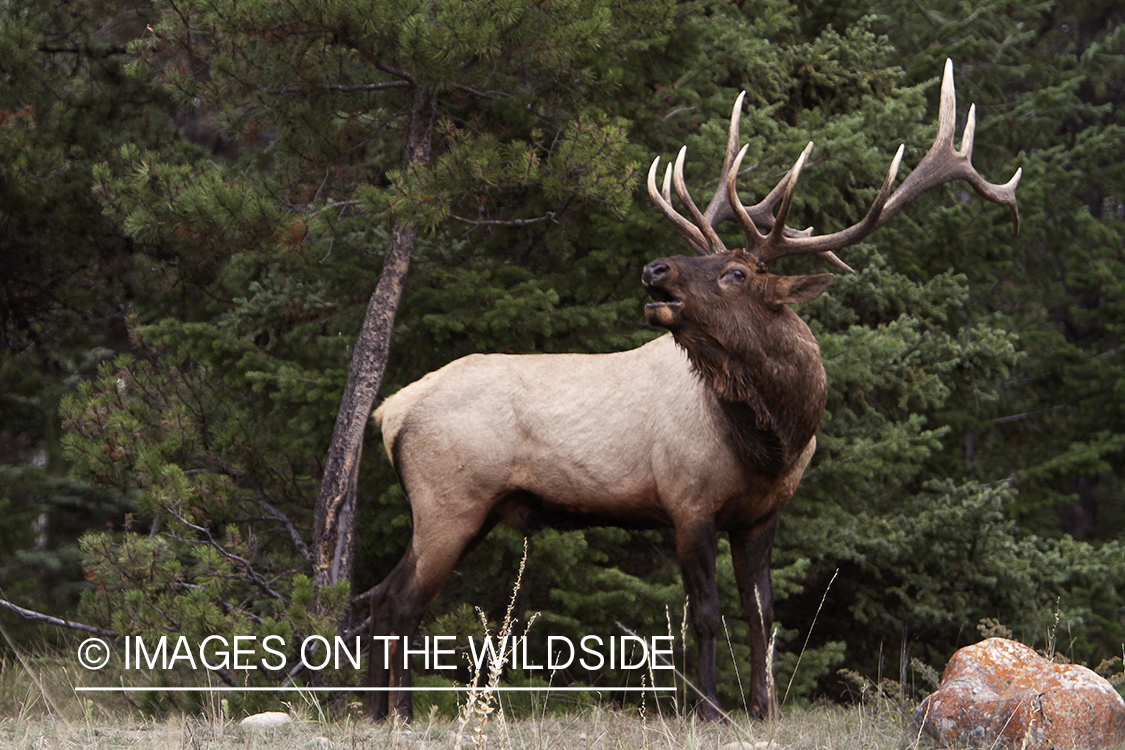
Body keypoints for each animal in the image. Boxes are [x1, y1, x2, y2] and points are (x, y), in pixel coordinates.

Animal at [362, 61, 1021, 724]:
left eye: (736, 272)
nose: (655, 269)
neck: (772, 439)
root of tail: (389, 411)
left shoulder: (763, 513)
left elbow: (763, 614)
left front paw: (765, 709)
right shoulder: (687, 500)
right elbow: (705, 615)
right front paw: (708, 710)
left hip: (461, 506)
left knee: (379, 596)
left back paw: (371, 711)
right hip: (451, 498)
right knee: (400, 601)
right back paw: (398, 713)